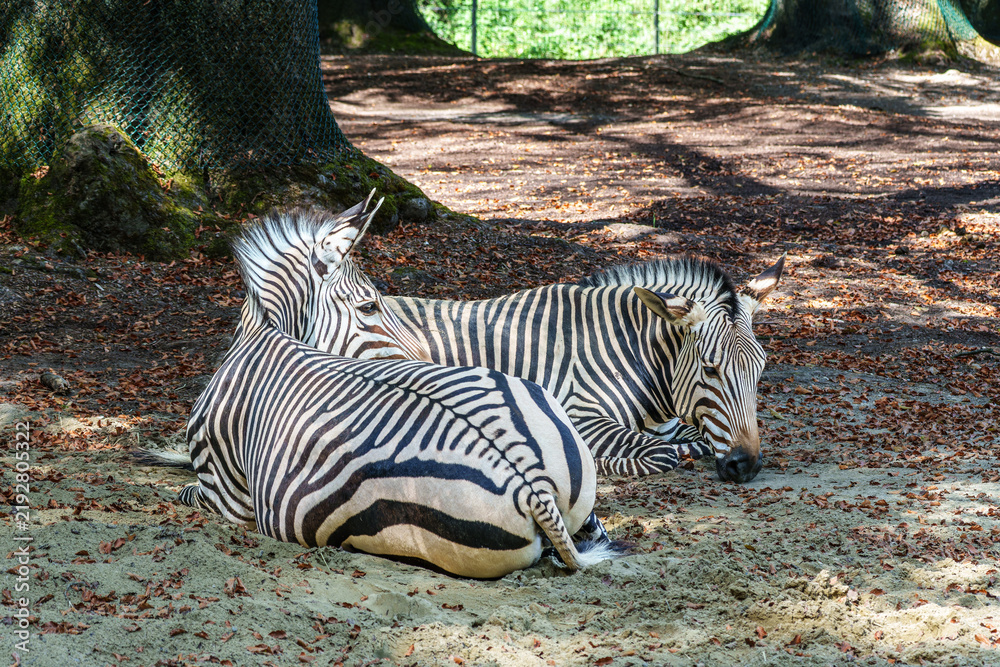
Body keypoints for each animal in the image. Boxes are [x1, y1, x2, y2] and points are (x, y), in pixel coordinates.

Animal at [150, 194, 619, 578]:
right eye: (369, 306)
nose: (428, 362)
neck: (263, 335)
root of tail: (531, 486)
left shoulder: (222, 495)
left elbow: (183, 489)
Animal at [385, 254, 785, 483]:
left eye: (760, 369)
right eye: (710, 370)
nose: (748, 466)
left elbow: (695, 438)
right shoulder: (580, 414)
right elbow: (661, 452)